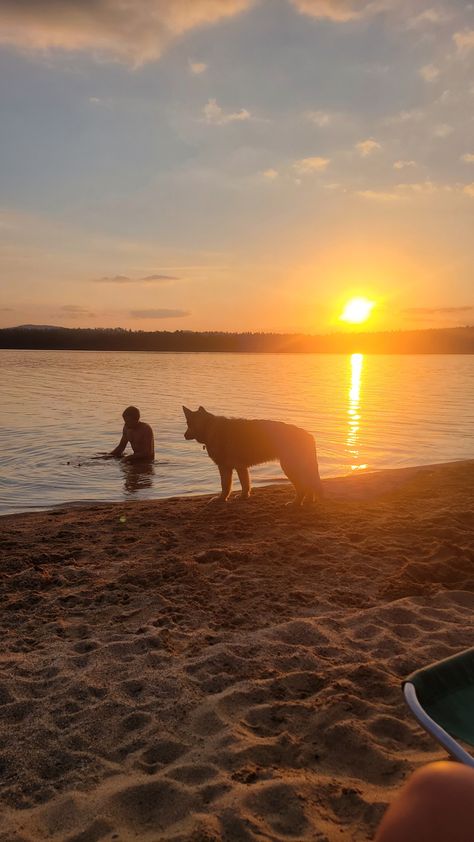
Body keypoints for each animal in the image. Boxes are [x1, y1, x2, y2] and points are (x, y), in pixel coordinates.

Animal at [181, 402, 322, 502]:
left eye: (188, 423)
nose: (184, 435)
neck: (209, 427)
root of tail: (309, 436)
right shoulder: (240, 467)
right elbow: (245, 484)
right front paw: (243, 497)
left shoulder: (225, 467)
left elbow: (225, 486)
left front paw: (221, 499)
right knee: (309, 487)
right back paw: (307, 503)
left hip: (290, 468)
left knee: (303, 488)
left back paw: (295, 504)